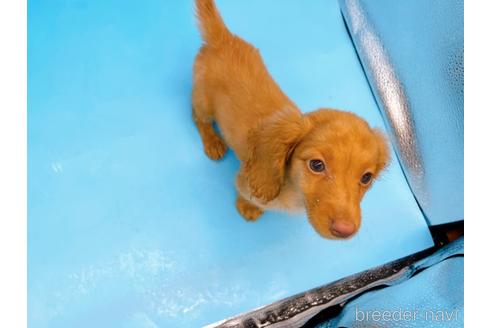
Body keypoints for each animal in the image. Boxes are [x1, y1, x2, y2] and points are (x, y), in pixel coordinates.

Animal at [191, 0, 388, 241]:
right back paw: (213, 141)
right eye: (316, 165)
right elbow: (247, 196)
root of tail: (223, 38)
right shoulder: (245, 183)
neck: (294, 191)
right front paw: (249, 207)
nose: (345, 231)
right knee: (197, 116)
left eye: (366, 178)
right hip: (203, 100)